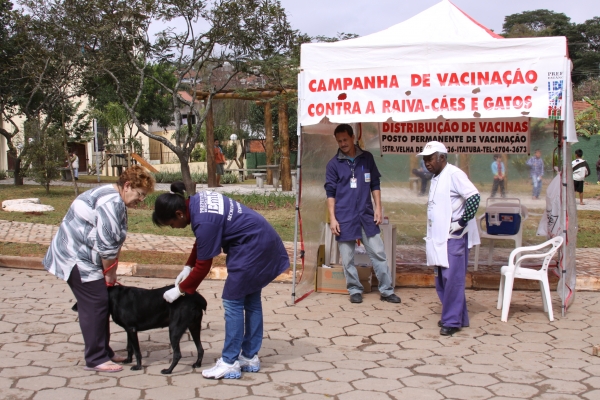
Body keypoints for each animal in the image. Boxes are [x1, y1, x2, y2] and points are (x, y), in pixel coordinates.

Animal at [72, 284, 206, 372]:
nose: (73, 308)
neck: (114, 297)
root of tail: (197, 298)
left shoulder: (131, 330)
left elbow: (137, 351)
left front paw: (137, 366)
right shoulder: (129, 330)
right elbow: (129, 347)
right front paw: (127, 360)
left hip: (174, 330)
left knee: (177, 354)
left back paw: (168, 370)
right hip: (194, 327)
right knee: (200, 349)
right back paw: (197, 364)